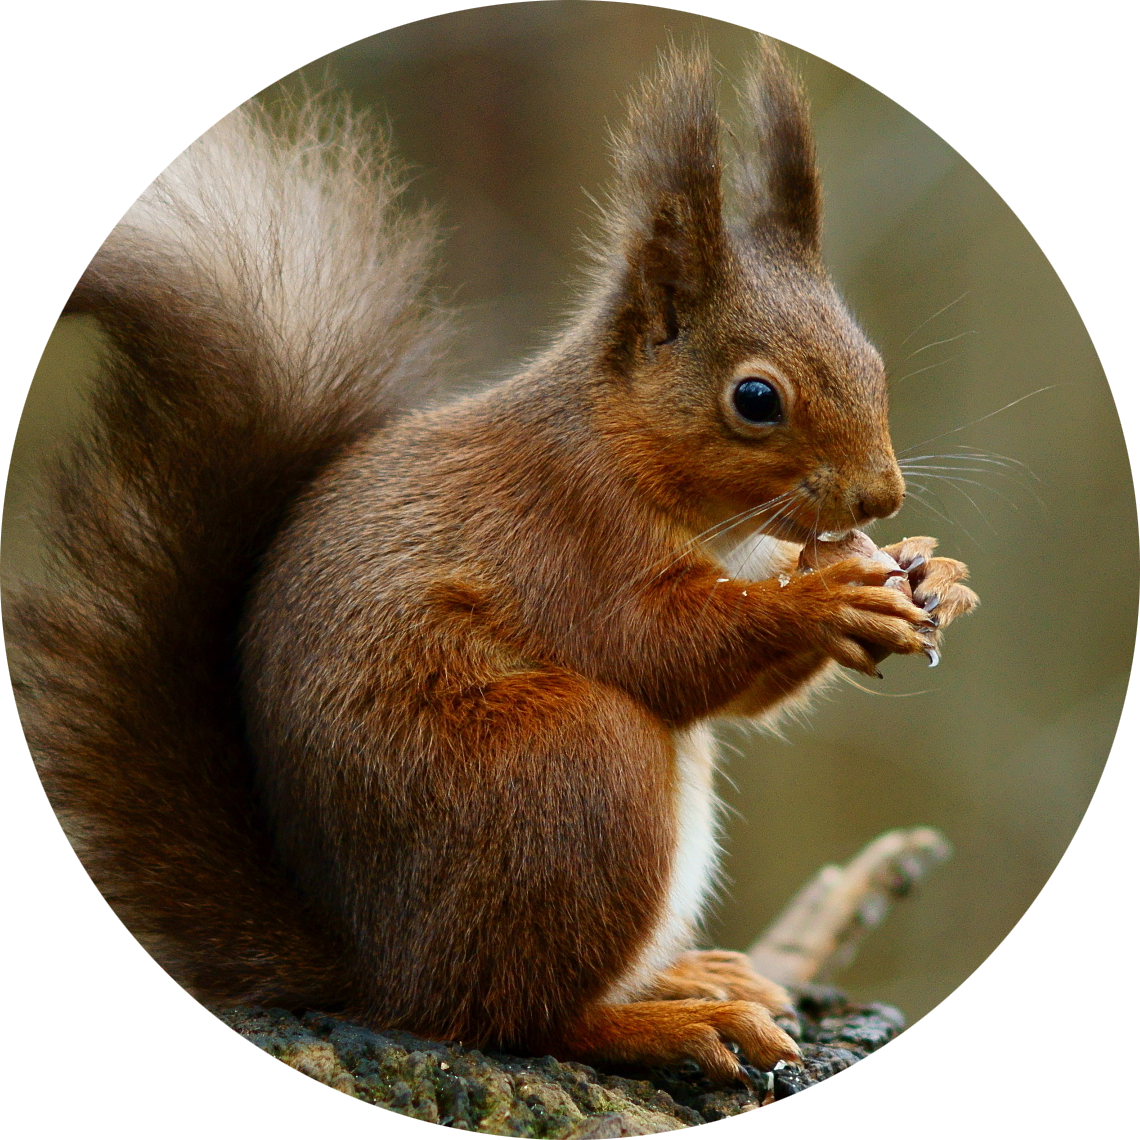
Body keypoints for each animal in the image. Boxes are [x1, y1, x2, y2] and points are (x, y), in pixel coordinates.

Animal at [10, 39, 977, 1083]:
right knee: (512, 1017)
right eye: (755, 399)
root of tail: (379, 970)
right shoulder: (565, 532)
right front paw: (828, 599)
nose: (881, 499)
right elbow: (659, 648)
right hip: (568, 771)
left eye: (872, 362)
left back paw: (688, 976)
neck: (630, 453)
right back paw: (675, 1022)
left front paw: (934, 573)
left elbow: (740, 691)